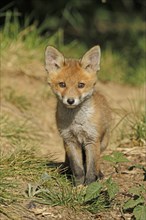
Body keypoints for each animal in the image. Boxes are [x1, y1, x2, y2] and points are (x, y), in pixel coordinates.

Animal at [44, 45, 112, 186]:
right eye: (62, 84)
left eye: (81, 85)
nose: (70, 101)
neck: (77, 122)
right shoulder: (70, 140)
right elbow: (77, 167)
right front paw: (78, 184)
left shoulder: (92, 140)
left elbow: (91, 168)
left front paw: (90, 185)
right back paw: (66, 170)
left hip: (102, 143)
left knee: (96, 161)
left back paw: (100, 174)